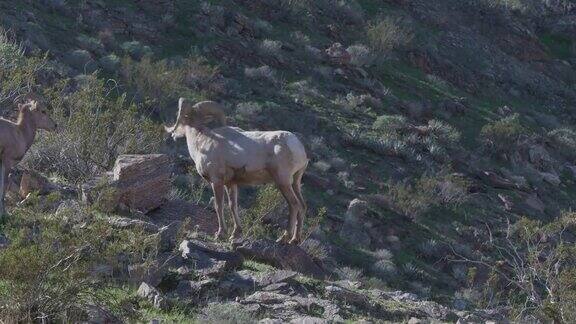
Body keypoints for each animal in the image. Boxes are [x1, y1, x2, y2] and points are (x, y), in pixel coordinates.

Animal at [166, 99, 310, 246]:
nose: (173, 134)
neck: (201, 141)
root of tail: (297, 146)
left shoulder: (216, 181)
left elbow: (218, 206)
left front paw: (220, 234)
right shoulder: (231, 184)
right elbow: (232, 206)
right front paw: (235, 234)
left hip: (283, 182)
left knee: (294, 205)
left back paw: (284, 238)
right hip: (295, 182)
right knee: (302, 206)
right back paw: (295, 240)